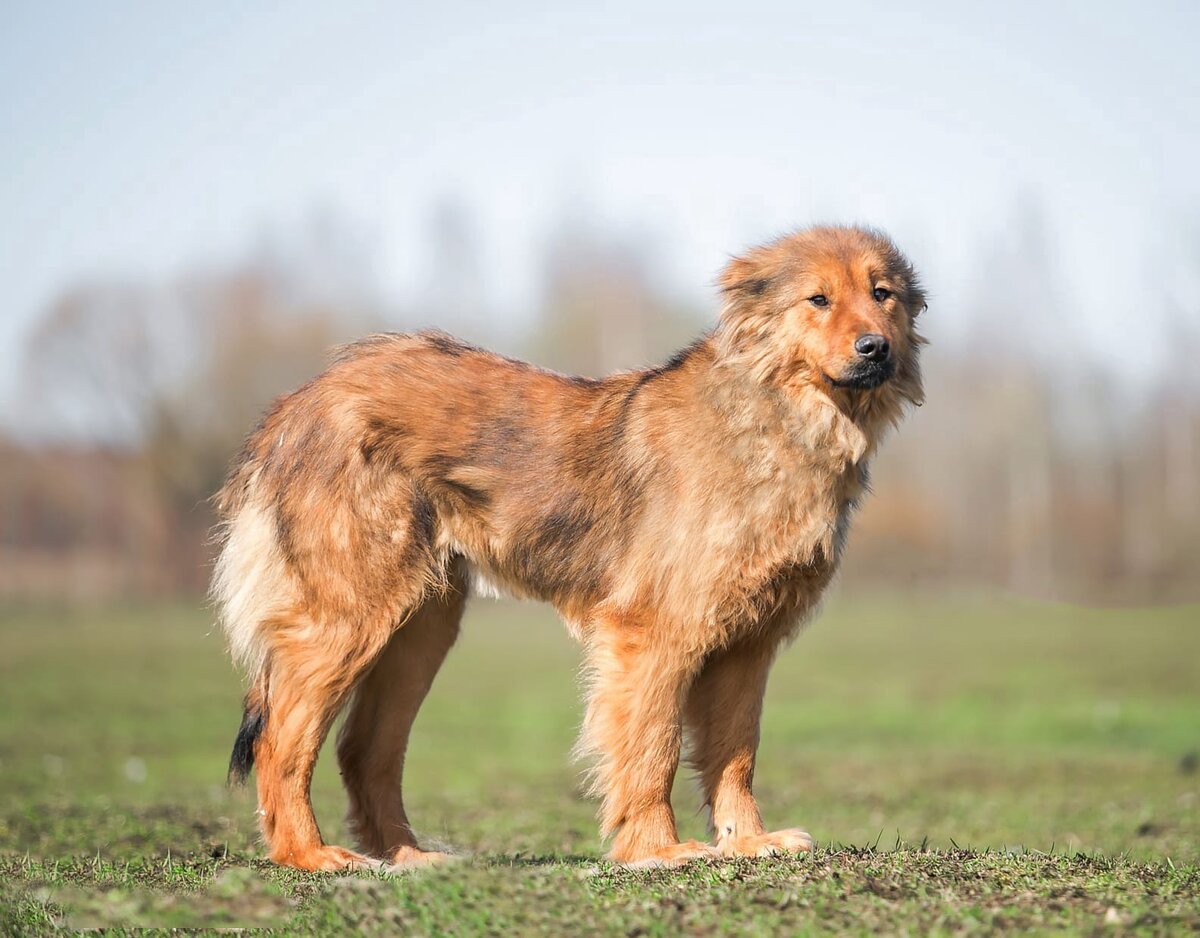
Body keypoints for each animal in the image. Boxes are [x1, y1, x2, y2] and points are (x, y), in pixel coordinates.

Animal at [213, 224, 926, 868]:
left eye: (882, 293)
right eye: (818, 300)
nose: (875, 348)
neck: (777, 416)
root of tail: (297, 401)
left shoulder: (748, 644)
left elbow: (736, 753)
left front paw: (748, 842)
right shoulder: (655, 633)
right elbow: (653, 748)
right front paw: (658, 849)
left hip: (419, 629)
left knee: (364, 750)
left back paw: (407, 856)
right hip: (350, 616)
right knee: (282, 742)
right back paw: (310, 855)